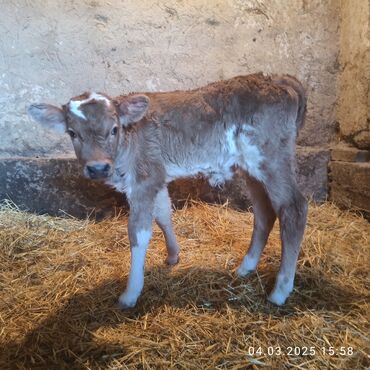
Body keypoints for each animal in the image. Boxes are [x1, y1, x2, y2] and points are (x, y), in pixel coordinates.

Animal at [28, 73, 306, 308]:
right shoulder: (157, 177)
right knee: (264, 212)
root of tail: (277, 78)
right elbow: (163, 214)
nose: (97, 168)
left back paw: (280, 290)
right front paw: (173, 256)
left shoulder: (143, 181)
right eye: (72, 133)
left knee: (294, 208)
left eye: (114, 129)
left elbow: (138, 232)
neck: (129, 141)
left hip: (272, 159)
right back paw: (246, 267)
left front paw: (130, 293)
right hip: (250, 169)